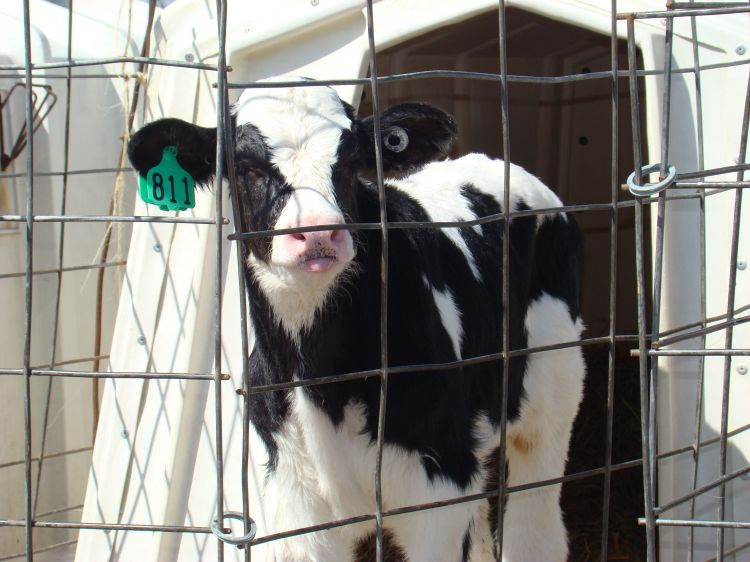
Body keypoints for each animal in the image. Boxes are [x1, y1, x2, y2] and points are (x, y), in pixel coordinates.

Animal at [128, 80, 588, 560]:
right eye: (246, 167)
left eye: (350, 162)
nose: (316, 231)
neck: (321, 383)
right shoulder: (299, 503)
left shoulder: (439, 489)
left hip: (555, 386)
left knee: (534, 521)